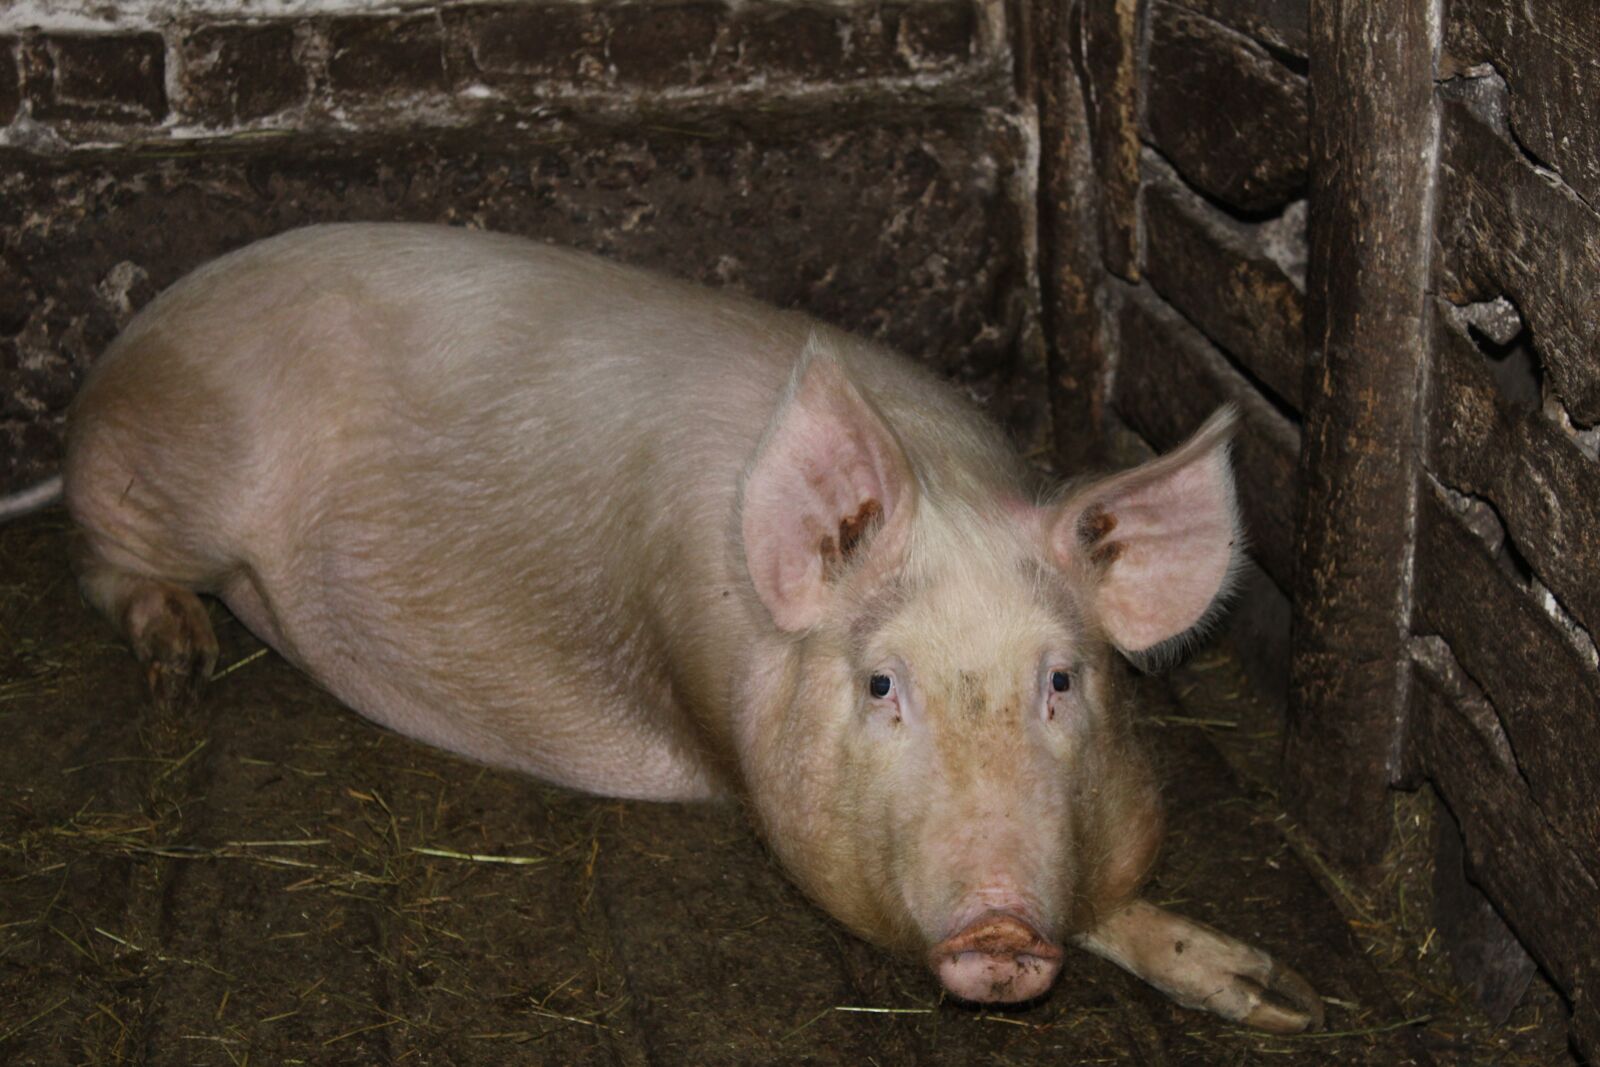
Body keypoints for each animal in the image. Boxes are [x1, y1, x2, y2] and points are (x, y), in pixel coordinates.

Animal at [64, 223, 1322, 1032]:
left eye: (1060, 680)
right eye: (880, 685)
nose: (1003, 928)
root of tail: (133, 340)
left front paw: (1278, 998)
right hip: (168, 487)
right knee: (101, 559)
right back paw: (180, 660)